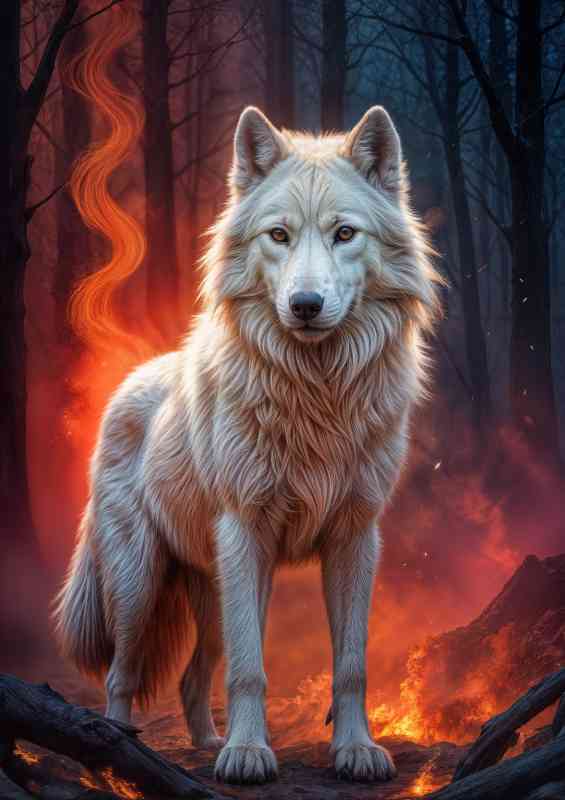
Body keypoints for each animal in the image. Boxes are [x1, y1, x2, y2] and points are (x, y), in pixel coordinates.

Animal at [54, 105, 440, 785]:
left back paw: (207, 742)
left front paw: (355, 751)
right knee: (123, 674)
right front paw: (248, 754)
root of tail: (128, 381)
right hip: (138, 583)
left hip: (212, 589)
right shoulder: (245, 532)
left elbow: (350, 664)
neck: (316, 394)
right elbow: (251, 669)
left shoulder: (355, 536)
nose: (305, 304)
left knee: (192, 677)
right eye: (278, 235)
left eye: (345, 234)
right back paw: (117, 752)